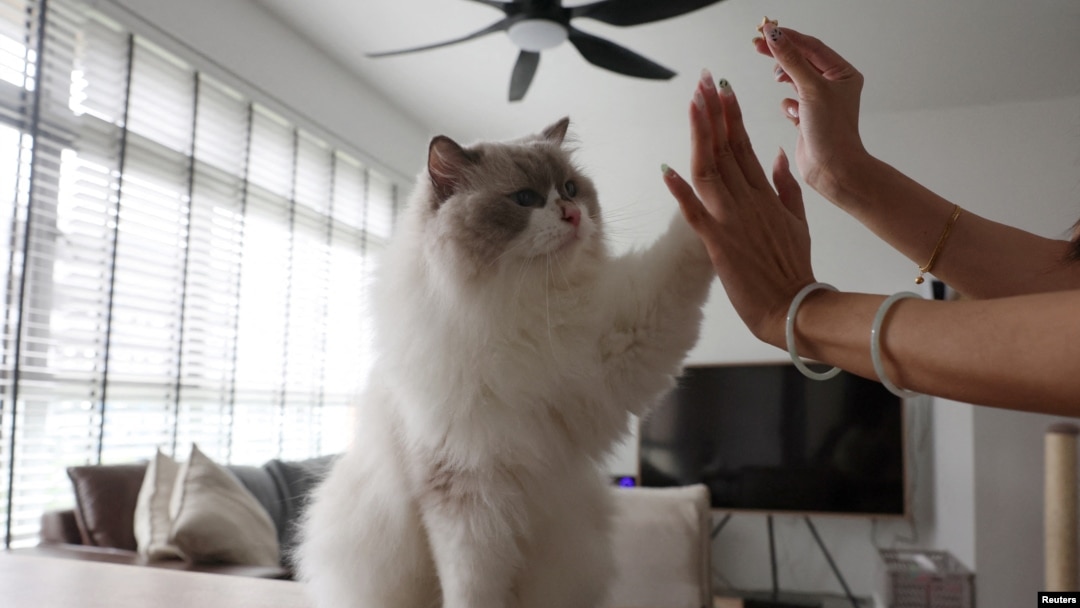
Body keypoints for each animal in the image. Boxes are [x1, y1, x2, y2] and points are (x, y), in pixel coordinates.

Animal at [298, 118, 717, 608]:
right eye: (525, 199)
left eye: (570, 188)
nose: (573, 214)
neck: (519, 312)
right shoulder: (465, 494)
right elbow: (472, 591)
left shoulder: (626, 340)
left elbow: (681, 256)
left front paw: (712, 202)